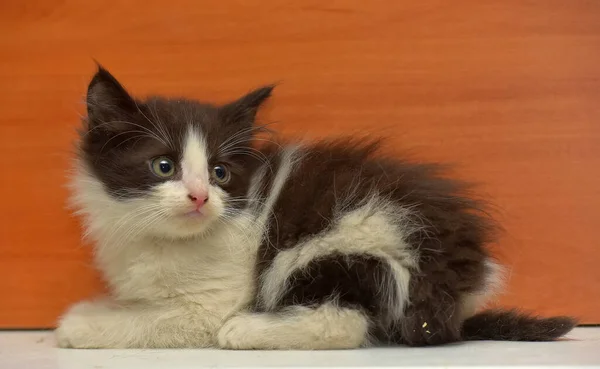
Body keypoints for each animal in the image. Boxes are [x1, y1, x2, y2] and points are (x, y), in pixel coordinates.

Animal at [56, 67, 576, 348]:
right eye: (163, 166)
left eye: (220, 173)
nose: (201, 196)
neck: (166, 240)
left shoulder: (212, 301)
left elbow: (161, 319)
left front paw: (77, 325)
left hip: (356, 242)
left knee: (346, 322)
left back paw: (249, 331)